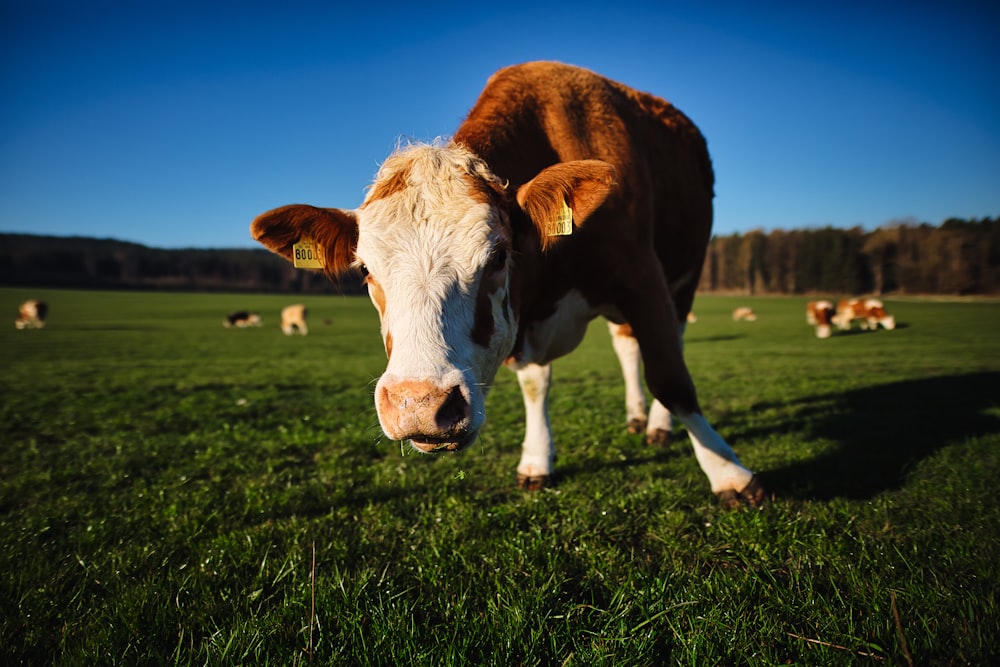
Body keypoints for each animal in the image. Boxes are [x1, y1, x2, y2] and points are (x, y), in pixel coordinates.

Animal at [252, 64, 764, 512]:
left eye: (498, 256)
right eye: (364, 271)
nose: (419, 406)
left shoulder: (641, 274)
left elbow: (672, 377)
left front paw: (729, 474)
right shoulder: (525, 318)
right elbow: (537, 384)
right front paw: (536, 460)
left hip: (685, 275)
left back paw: (658, 424)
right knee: (625, 344)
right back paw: (638, 416)